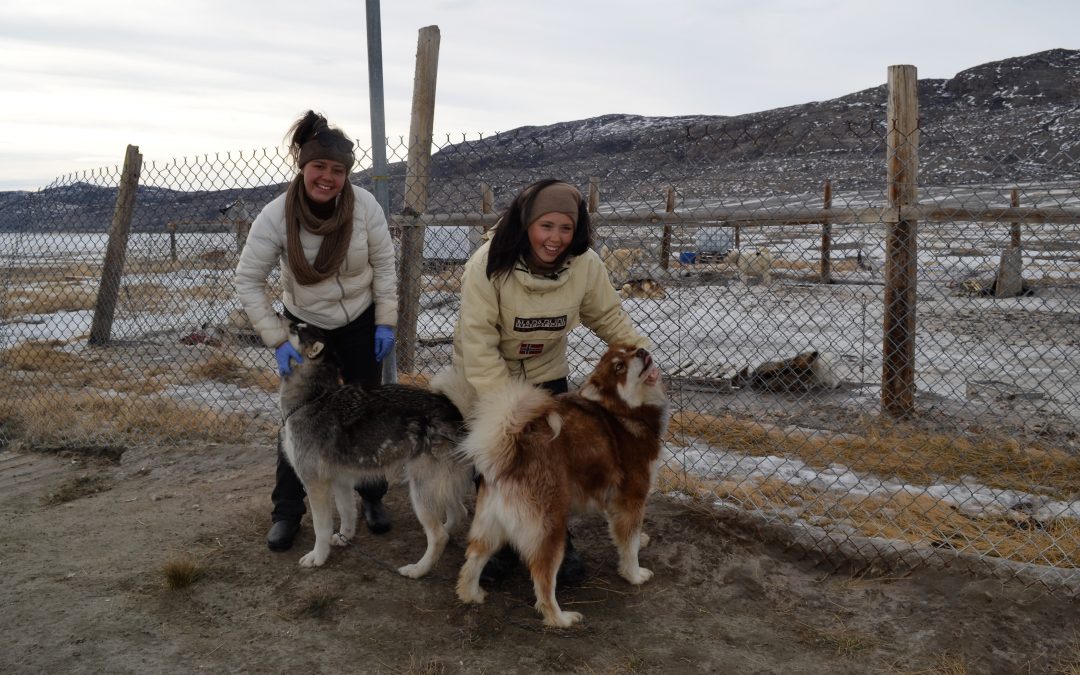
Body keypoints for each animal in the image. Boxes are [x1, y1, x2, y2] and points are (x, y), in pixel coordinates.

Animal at [278, 324, 473, 574]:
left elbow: (320, 529)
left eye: (295, 329)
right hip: (439, 487)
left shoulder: (315, 485)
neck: (312, 399)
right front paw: (344, 537)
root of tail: (455, 414)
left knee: (439, 536)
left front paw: (318, 557)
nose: (280, 317)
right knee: (458, 514)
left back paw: (417, 570)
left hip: (421, 490)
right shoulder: (341, 481)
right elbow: (347, 513)